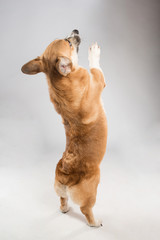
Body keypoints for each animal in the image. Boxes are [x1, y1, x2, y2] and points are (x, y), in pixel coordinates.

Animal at [21, 29, 107, 227]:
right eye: (68, 43)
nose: (75, 30)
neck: (60, 81)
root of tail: (65, 174)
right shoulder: (98, 80)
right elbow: (95, 68)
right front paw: (94, 52)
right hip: (93, 189)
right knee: (86, 210)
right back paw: (95, 222)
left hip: (59, 190)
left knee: (62, 201)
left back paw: (66, 209)